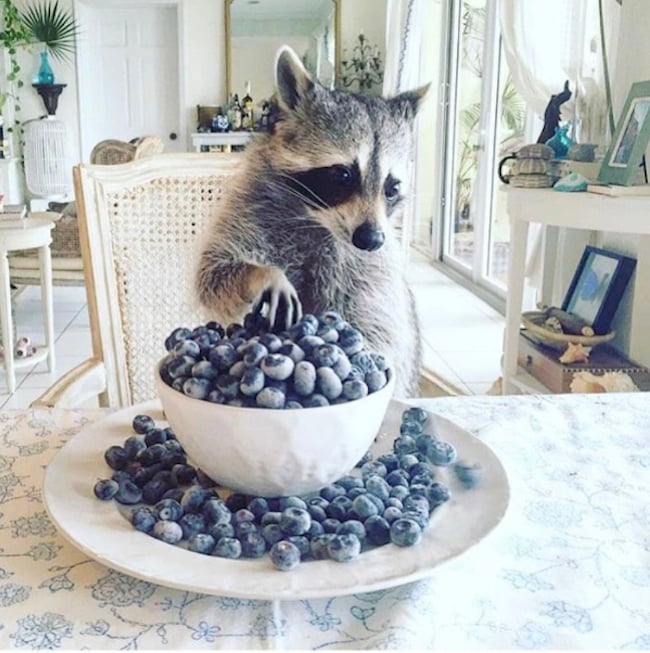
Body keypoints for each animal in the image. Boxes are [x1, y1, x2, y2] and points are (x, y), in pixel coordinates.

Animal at [196, 46, 428, 397]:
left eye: (392, 188)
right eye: (343, 175)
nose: (370, 239)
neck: (316, 220)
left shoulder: (374, 268)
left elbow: (379, 326)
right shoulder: (247, 210)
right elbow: (213, 272)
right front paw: (262, 274)